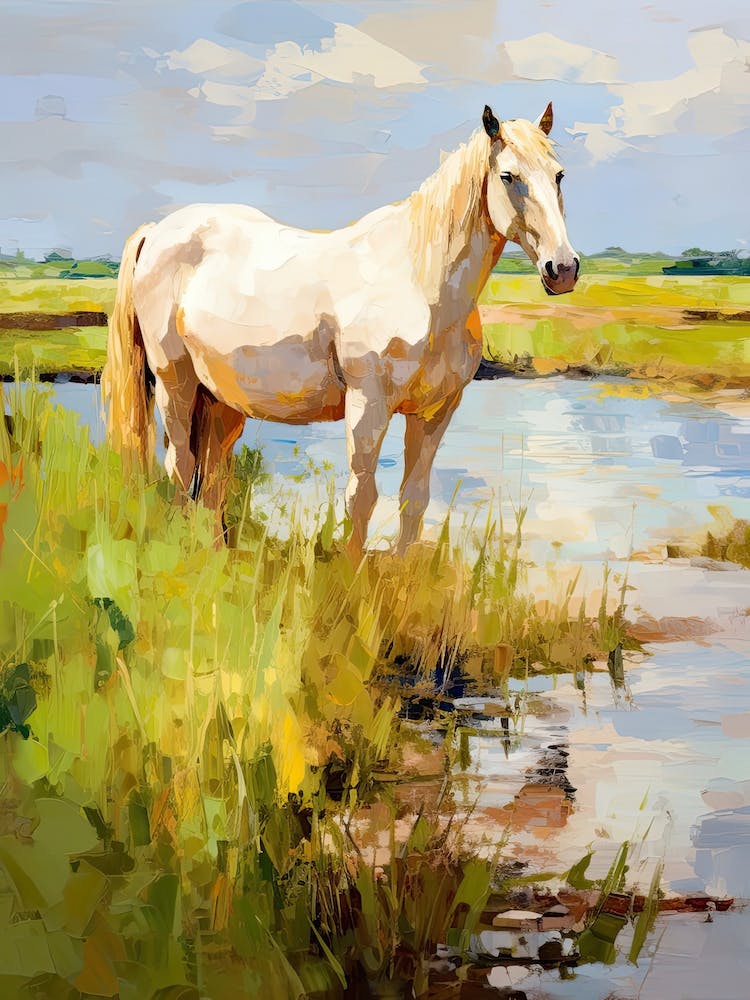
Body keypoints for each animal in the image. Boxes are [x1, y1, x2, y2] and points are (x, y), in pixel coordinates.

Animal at [102, 102, 578, 556]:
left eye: (558, 175)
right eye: (508, 176)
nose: (563, 269)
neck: (420, 279)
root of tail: (156, 233)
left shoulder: (435, 412)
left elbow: (414, 499)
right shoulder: (368, 403)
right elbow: (361, 497)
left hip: (221, 399)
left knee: (213, 481)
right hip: (175, 383)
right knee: (181, 468)